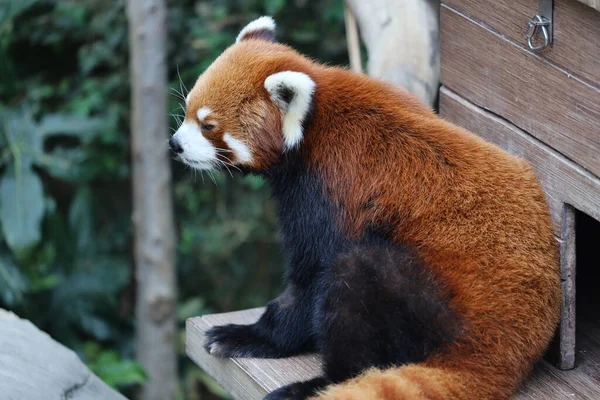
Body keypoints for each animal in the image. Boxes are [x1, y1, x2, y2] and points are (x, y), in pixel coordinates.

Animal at [170, 16, 564, 400]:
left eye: (208, 125)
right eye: (186, 112)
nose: (175, 144)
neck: (312, 125)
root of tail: (503, 350)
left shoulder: (329, 192)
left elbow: (309, 277)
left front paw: (254, 336)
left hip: (426, 303)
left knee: (354, 278)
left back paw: (318, 384)